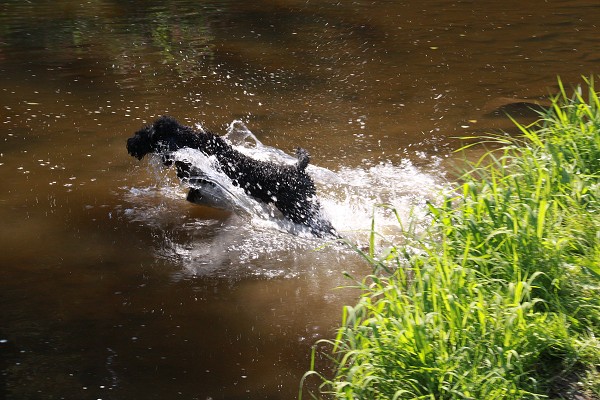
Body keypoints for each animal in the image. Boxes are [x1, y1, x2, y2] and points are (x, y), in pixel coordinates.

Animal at [126, 115, 338, 238]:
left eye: (150, 133)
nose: (130, 143)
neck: (192, 144)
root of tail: (299, 169)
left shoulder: (204, 183)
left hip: (300, 210)